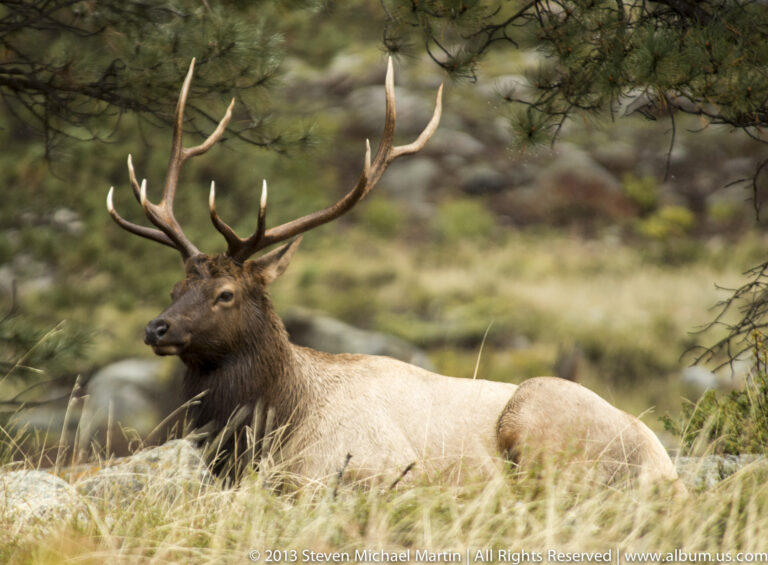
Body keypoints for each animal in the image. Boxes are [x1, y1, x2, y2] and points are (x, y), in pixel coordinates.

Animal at [106, 58, 681, 488]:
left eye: (225, 293)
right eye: (176, 286)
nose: (156, 327)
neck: (276, 424)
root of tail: (664, 465)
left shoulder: (369, 468)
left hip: (537, 413)